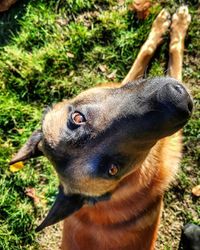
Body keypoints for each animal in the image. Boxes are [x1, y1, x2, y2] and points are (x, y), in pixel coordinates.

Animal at [9, 5, 194, 250]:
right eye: (113, 169)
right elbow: (173, 58)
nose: (176, 102)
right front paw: (179, 24)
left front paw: (162, 25)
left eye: (77, 118)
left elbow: (142, 54)